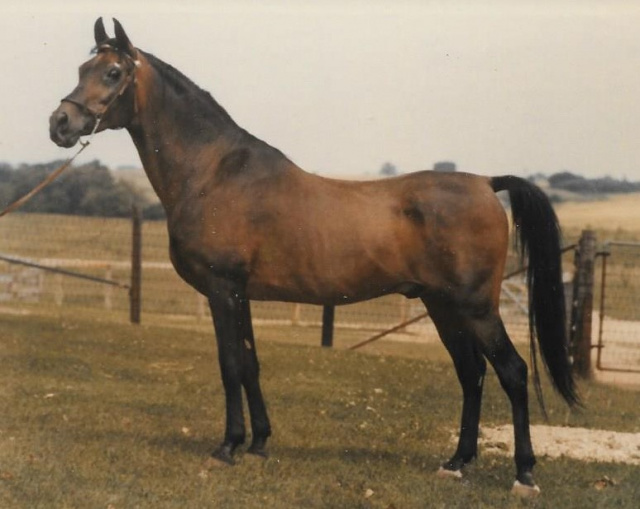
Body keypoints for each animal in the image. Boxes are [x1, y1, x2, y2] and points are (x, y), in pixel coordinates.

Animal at [50, 17, 576, 494]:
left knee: (513, 373)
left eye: (113, 72)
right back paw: (456, 463)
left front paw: (228, 447)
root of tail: (486, 183)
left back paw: (524, 475)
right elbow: (250, 363)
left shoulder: (222, 288)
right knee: (472, 374)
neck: (214, 172)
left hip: (476, 307)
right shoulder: (241, 294)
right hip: (441, 306)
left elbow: (230, 364)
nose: (60, 123)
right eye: (81, 67)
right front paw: (259, 443)